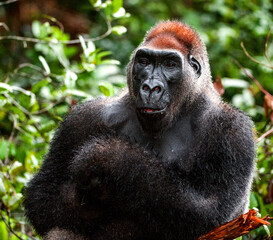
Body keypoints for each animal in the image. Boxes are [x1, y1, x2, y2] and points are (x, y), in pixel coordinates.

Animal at [23, 21, 255, 240]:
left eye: (170, 64)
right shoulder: (83, 118)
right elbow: (42, 197)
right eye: (144, 61)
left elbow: (212, 210)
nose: (151, 88)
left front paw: (108, 158)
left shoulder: (235, 131)